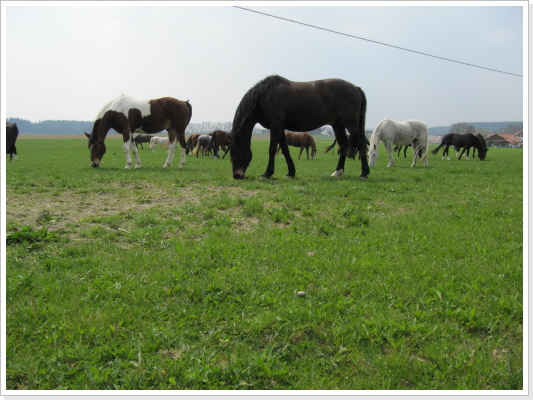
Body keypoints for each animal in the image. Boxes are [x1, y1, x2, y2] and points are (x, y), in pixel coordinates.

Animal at [229, 75, 368, 179]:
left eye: (236, 152)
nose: (237, 175)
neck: (264, 96)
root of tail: (356, 88)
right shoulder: (280, 128)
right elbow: (285, 149)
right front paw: (291, 172)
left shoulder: (276, 126)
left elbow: (272, 149)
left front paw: (267, 173)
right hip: (338, 125)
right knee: (343, 145)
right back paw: (337, 172)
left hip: (351, 124)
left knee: (360, 144)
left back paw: (364, 173)